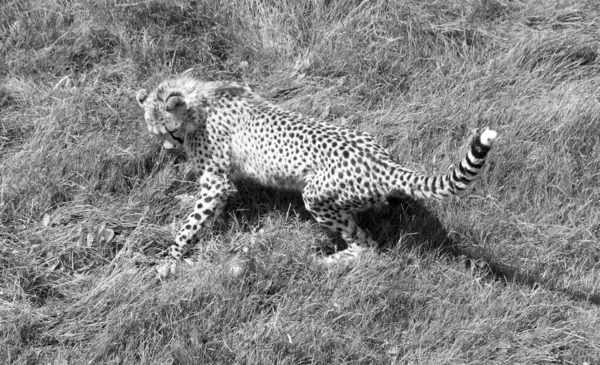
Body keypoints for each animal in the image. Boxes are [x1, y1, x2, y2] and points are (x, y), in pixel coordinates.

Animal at [136, 76, 496, 276]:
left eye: (170, 131)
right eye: (156, 132)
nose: (168, 148)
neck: (200, 102)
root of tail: (381, 162)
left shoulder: (216, 182)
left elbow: (192, 223)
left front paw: (169, 260)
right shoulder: (222, 181)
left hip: (315, 195)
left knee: (367, 244)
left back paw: (329, 261)